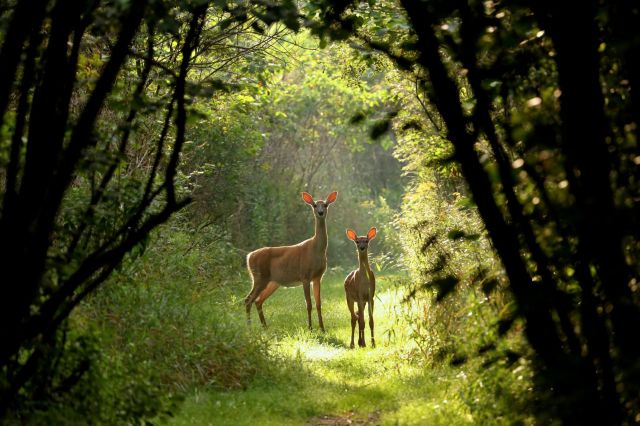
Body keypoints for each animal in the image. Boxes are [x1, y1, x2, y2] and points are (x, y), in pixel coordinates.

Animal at [245, 191, 338, 331]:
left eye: (325, 205)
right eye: (315, 205)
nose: (320, 212)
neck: (316, 250)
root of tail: (249, 256)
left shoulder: (318, 277)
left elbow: (318, 304)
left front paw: (322, 328)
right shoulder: (305, 275)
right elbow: (308, 304)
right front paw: (310, 328)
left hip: (272, 282)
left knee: (258, 300)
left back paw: (265, 327)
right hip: (259, 277)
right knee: (248, 300)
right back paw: (250, 328)